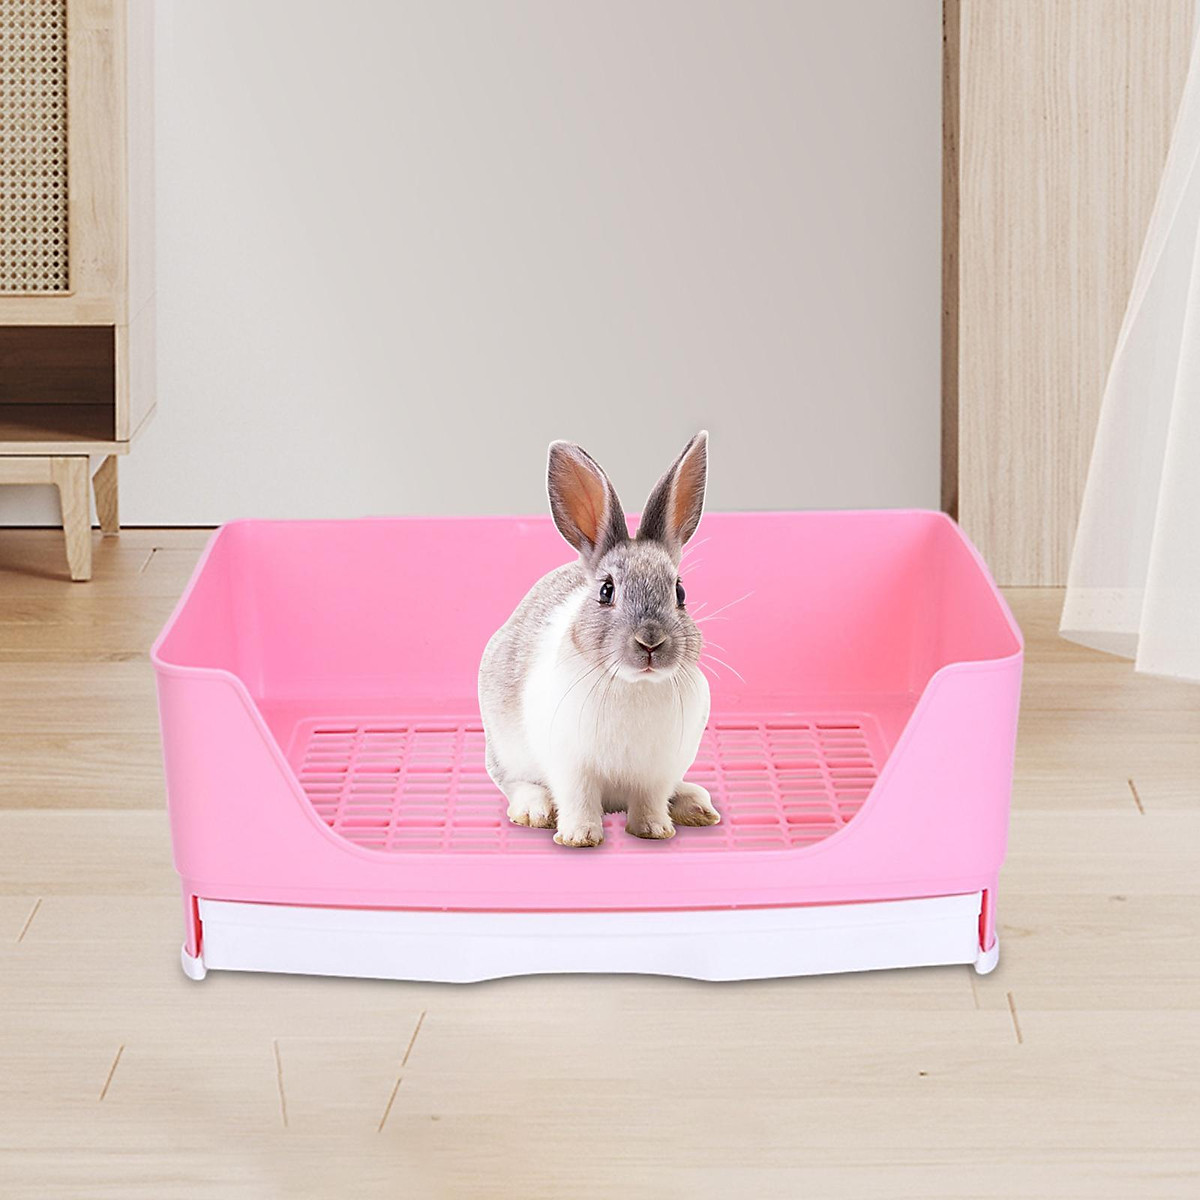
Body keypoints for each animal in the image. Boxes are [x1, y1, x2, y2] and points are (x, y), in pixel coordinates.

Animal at [478, 432, 719, 847]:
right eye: (606, 591)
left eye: (680, 592)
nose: (650, 642)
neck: (634, 684)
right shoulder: (571, 766)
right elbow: (578, 800)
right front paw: (578, 837)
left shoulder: (657, 771)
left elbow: (651, 801)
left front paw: (655, 831)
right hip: (505, 749)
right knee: (513, 782)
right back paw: (534, 810)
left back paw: (695, 806)